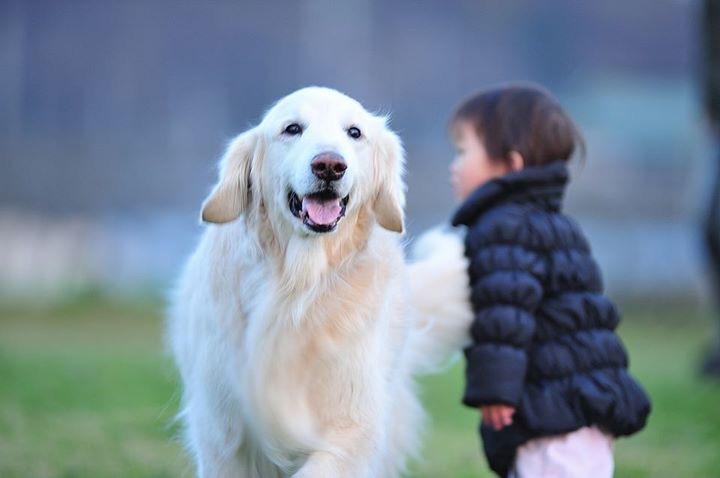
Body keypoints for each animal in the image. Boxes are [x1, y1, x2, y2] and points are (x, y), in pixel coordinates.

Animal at [167, 87, 472, 478]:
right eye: (292, 128)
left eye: (354, 132)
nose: (329, 165)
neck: (298, 287)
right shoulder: (222, 434)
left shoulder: (350, 428)